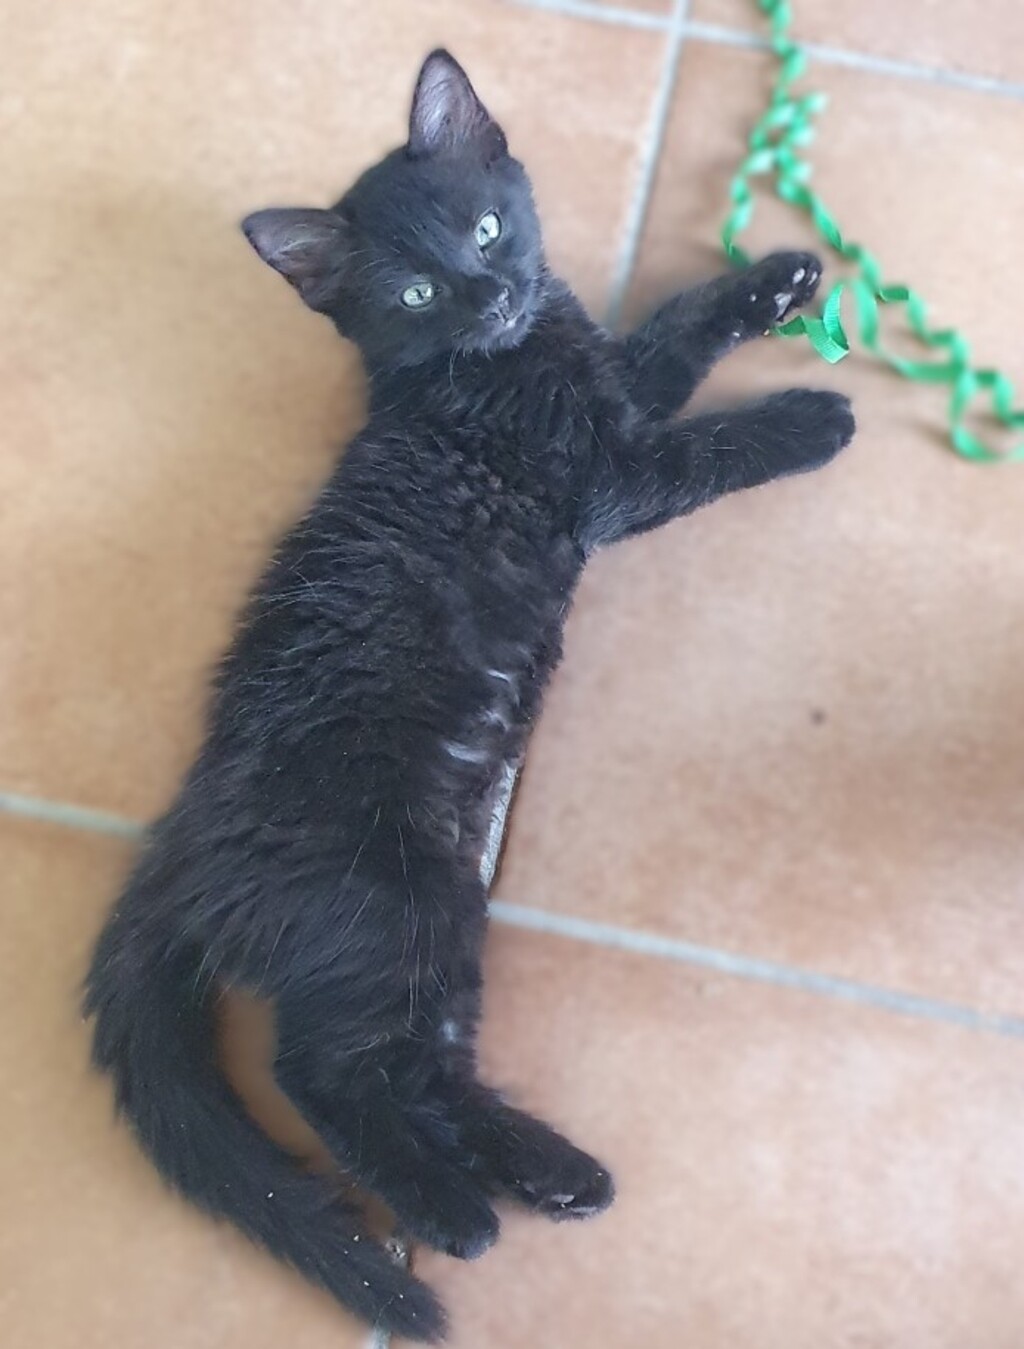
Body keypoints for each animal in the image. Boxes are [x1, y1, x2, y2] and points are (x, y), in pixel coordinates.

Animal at [84, 48, 854, 1343]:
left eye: (489, 227)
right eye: (411, 295)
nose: (488, 291)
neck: (503, 363)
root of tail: (182, 840)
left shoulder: (608, 374)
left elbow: (665, 334)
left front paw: (770, 280)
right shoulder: (611, 474)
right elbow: (702, 447)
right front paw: (805, 417)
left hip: (435, 910)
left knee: (415, 1065)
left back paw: (548, 1170)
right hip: (388, 901)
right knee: (323, 1072)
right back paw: (452, 1215)